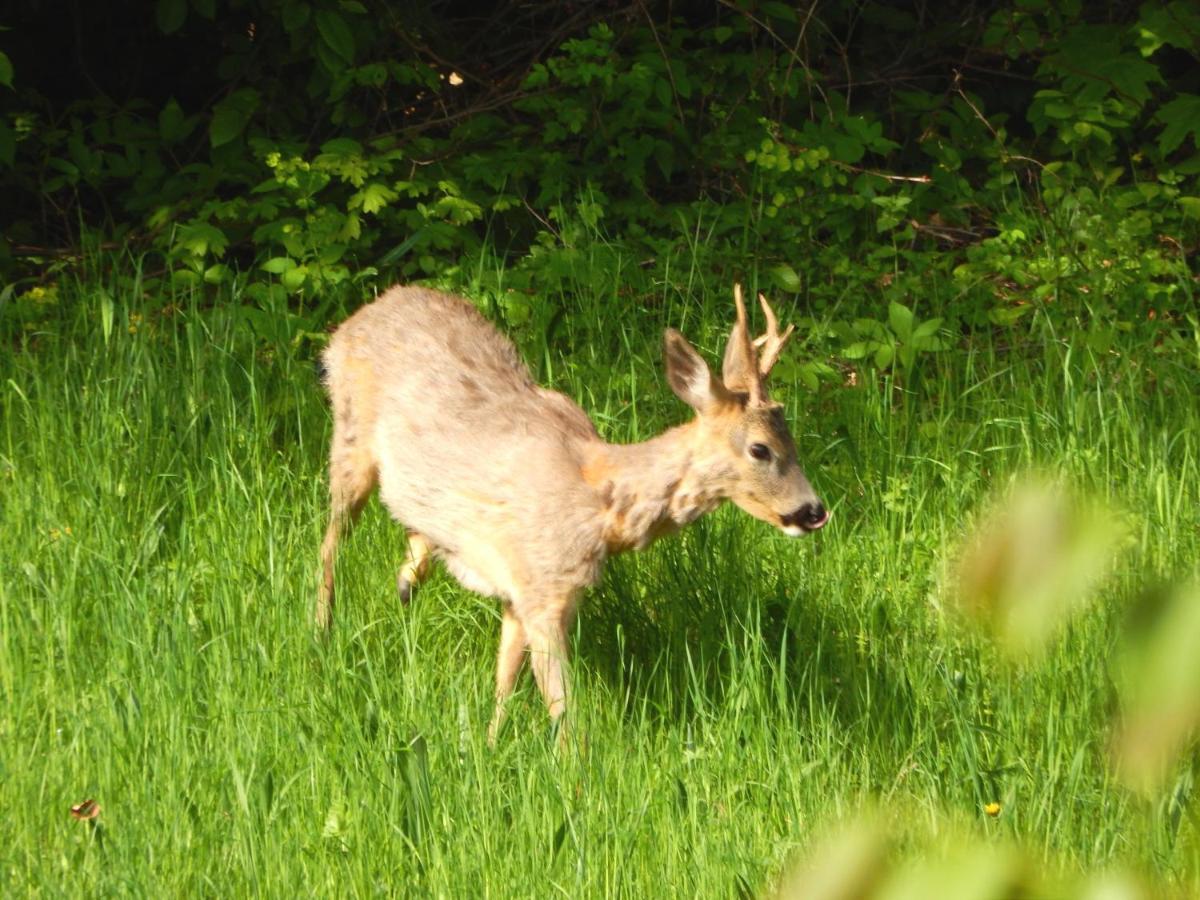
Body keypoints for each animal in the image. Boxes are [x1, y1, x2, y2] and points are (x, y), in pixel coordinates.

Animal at [316, 285, 825, 744]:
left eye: (793, 440)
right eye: (760, 448)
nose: (814, 511)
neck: (600, 503)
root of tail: (362, 315)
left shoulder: (526, 591)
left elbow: (505, 679)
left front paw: (487, 745)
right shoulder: (544, 591)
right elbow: (565, 710)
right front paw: (570, 776)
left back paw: (407, 579)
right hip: (350, 439)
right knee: (329, 542)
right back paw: (322, 629)